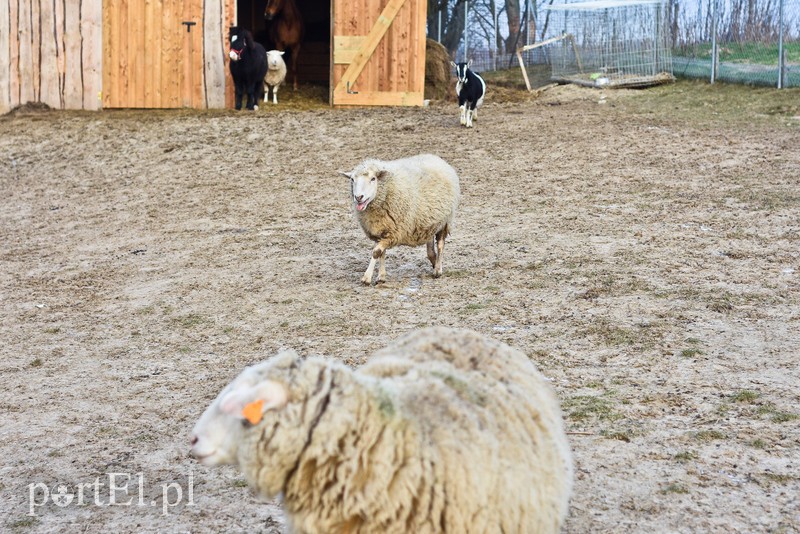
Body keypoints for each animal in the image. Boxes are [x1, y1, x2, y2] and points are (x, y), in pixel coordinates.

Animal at [340, 155, 460, 286]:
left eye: (373, 179)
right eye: (352, 179)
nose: (358, 197)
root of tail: (436, 158)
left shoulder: (393, 233)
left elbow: (376, 252)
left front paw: (366, 278)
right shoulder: (381, 231)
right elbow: (382, 253)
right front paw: (381, 277)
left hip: (445, 221)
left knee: (440, 245)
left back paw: (438, 270)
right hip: (429, 221)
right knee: (430, 249)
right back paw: (434, 262)